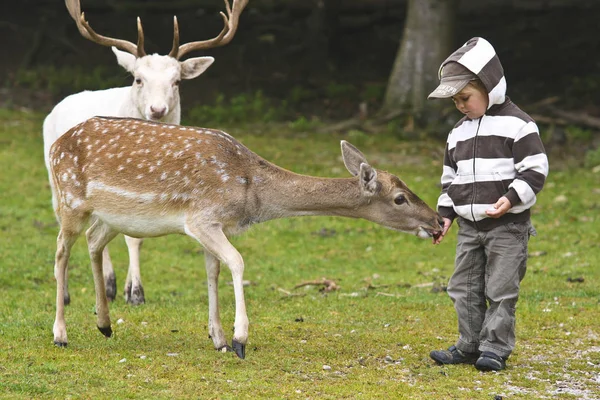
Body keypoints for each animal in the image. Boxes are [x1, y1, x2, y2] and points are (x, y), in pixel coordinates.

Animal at [43, 0, 247, 306]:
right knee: (65, 225)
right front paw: (134, 292)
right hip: (58, 179)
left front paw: (132, 290)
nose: (157, 109)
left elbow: (134, 236)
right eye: (138, 79)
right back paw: (68, 292)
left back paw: (109, 284)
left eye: (177, 81)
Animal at [49, 116, 442, 360]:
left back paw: (104, 324)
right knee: (61, 253)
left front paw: (219, 339)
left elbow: (212, 272)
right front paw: (239, 340)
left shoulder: (211, 226)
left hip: (111, 217)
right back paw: (61, 334)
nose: (438, 221)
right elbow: (237, 263)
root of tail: (56, 144)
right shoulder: (202, 218)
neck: (252, 193)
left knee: (94, 241)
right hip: (68, 200)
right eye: (400, 198)